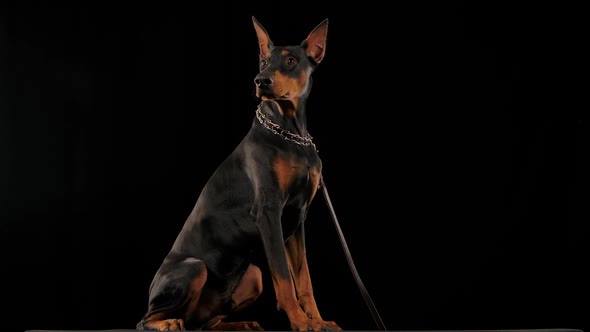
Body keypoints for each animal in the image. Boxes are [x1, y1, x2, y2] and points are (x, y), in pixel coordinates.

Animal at [136, 16, 340, 330]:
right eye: (263, 61)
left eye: (291, 60)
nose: (260, 81)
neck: (291, 133)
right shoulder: (269, 213)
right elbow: (284, 280)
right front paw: (300, 322)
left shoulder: (297, 220)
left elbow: (304, 280)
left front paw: (318, 321)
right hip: (194, 268)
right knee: (146, 319)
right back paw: (167, 323)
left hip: (253, 275)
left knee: (203, 323)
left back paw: (241, 324)